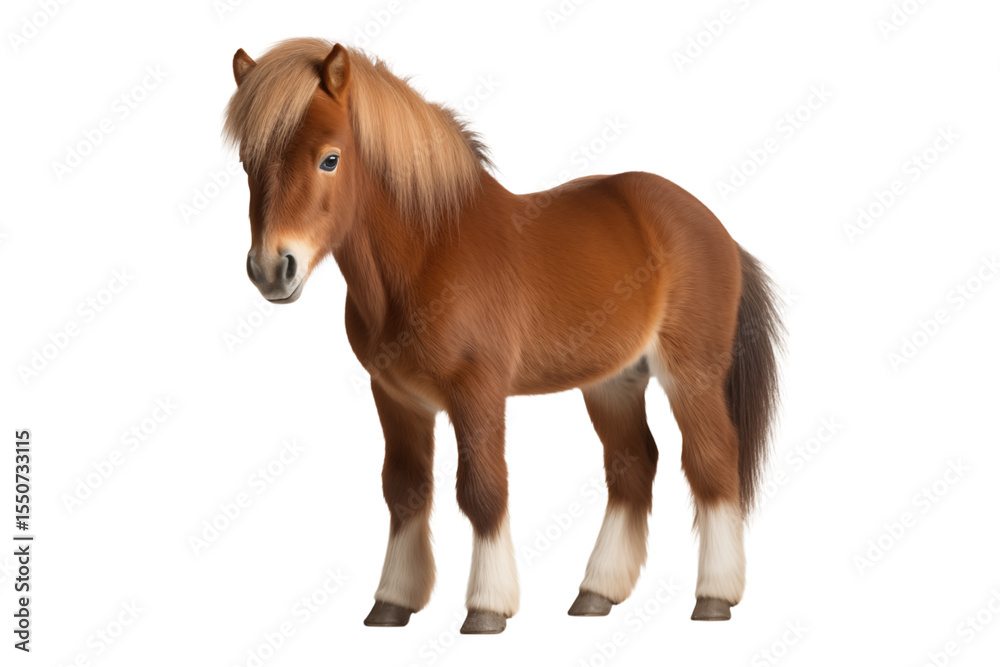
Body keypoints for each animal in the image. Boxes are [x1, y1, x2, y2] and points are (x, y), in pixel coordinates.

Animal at [224, 38, 783, 634]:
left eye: (329, 158)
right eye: (247, 163)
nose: (271, 269)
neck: (429, 253)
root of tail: (716, 228)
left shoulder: (478, 392)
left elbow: (483, 490)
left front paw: (487, 607)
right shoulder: (396, 397)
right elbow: (404, 490)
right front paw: (392, 603)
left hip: (691, 374)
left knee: (712, 462)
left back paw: (713, 597)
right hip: (614, 382)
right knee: (634, 464)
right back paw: (596, 593)